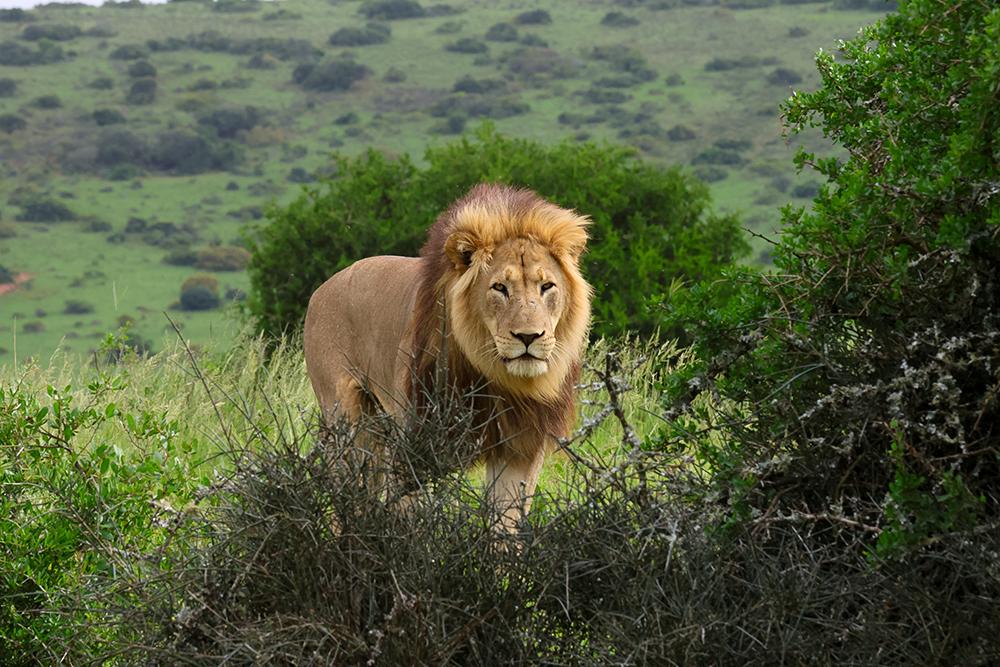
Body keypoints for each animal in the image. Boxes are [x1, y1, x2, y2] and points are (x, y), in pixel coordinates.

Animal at [303, 183, 592, 530]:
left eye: (547, 286)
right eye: (500, 288)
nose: (528, 337)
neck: (495, 378)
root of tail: (321, 289)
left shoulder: (519, 448)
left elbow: (504, 527)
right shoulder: (413, 443)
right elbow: (410, 520)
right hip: (346, 419)